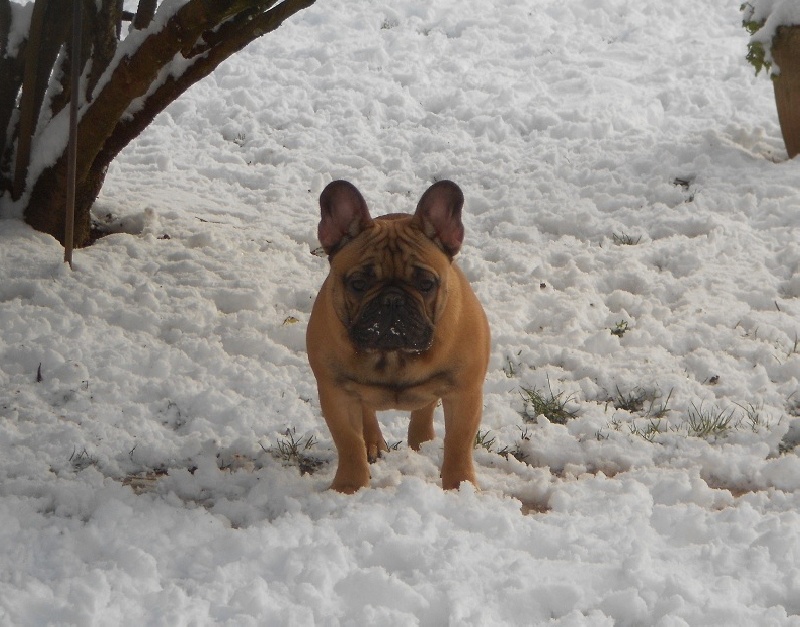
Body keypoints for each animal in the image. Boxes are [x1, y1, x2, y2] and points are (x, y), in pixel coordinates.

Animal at [306, 179, 490, 494]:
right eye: (358, 284)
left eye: (426, 283)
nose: (392, 300)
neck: (393, 355)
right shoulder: (336, 393)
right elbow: (349, 443)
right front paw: (349, 488)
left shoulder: (465, 393)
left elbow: (458, 443)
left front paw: (459, 487)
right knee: (367, 413)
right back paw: (373, 443)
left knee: (425, 406)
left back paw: (422, 442)